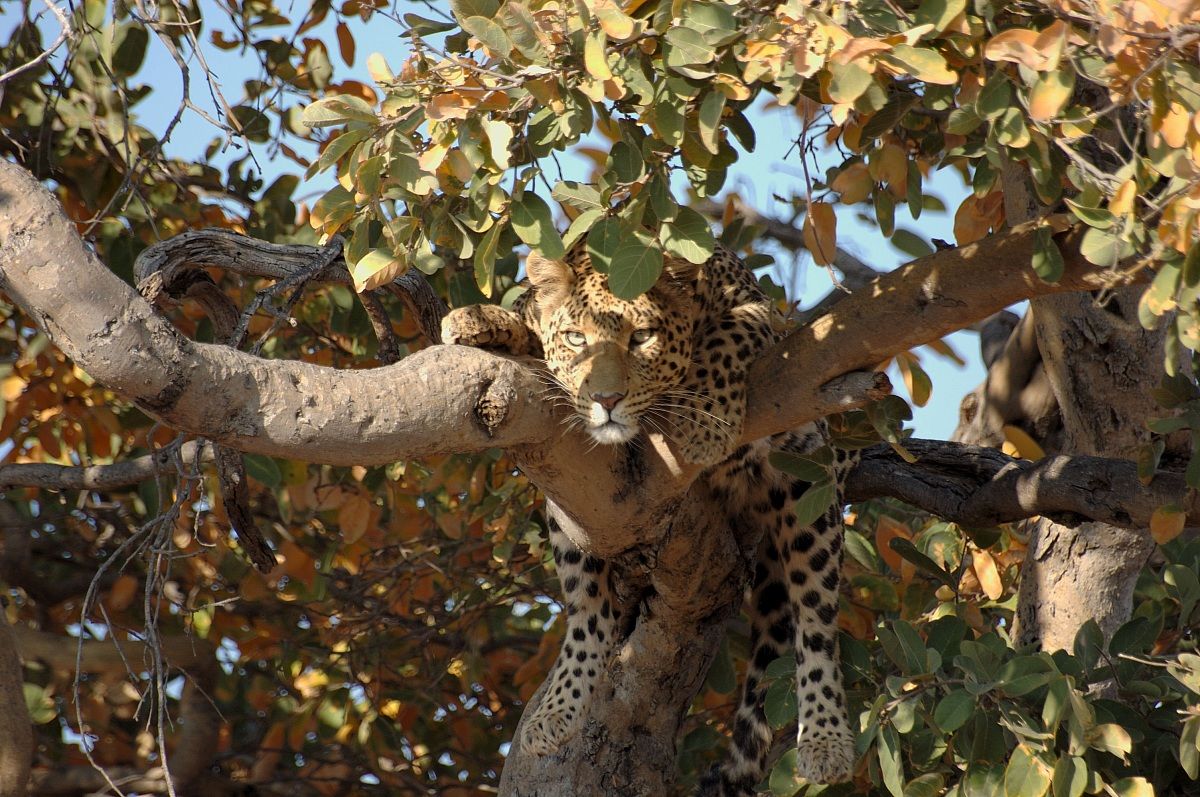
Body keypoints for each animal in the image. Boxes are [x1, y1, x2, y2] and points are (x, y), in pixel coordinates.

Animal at [440, 239, 857, 793]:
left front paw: (703, 418)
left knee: (815, 624)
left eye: (642, 338)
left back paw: (826, 739)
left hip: (810, 487)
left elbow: (732, 332)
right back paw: (558, 710)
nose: (606, 400)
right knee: (589, 614)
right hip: (572, 510)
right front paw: (477, 318)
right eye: (576, 339)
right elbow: (531, 322)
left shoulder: (767, 316)